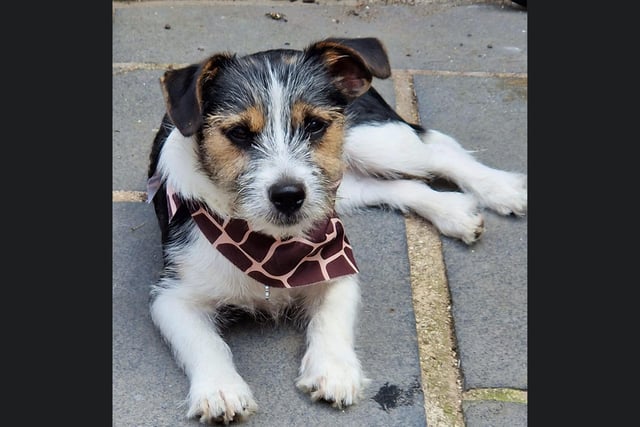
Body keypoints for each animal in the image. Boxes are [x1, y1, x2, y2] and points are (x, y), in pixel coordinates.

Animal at [148, 37, 528, 424]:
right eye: (239, 133)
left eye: (315, 125)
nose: (289, 195)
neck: (269, 248)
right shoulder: (173, 297)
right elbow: (205, 342)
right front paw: (220, 390)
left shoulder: (337, 265)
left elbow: (330, 318)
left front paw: (333, 371)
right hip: (343, 183)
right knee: (401, 186)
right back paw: (455, 213)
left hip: (375, 144)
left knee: (439, 151)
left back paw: (501, 189)